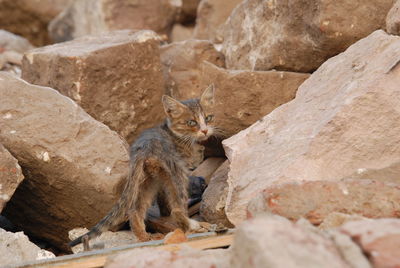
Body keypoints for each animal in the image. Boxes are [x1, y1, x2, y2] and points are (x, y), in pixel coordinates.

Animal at [69, 84, 216, 247]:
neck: (176, 135)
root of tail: (145, 148)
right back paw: (194, 228)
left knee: (135, 209)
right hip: (174, 171)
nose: (205, 130)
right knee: (177, 209)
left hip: (146, 178)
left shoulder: (161, 179)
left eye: (208, 118)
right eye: (191, 122)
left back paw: (143, 237)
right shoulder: (179, 168)